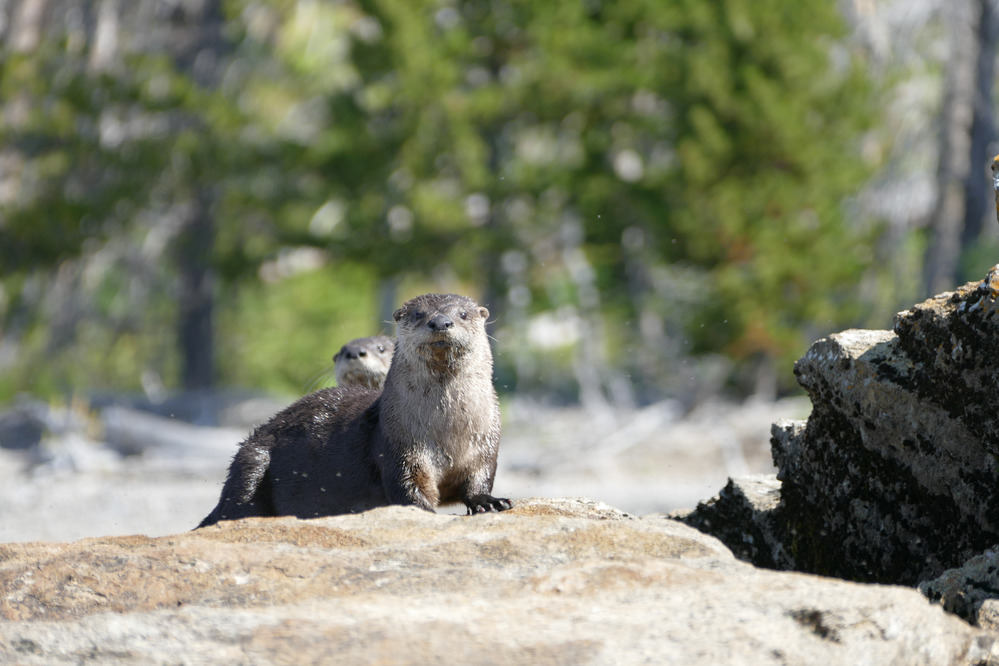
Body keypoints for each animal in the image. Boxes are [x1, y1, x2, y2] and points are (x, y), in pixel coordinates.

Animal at [197, 293, 511, 527]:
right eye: (418, 314)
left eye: (463, 314)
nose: (440, 322)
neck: (448, 429)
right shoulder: (400, 447)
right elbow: (409, 490)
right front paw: (424, 513)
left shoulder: (485, 445)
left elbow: (479, 480)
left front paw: (488, 501)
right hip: (252, 462)